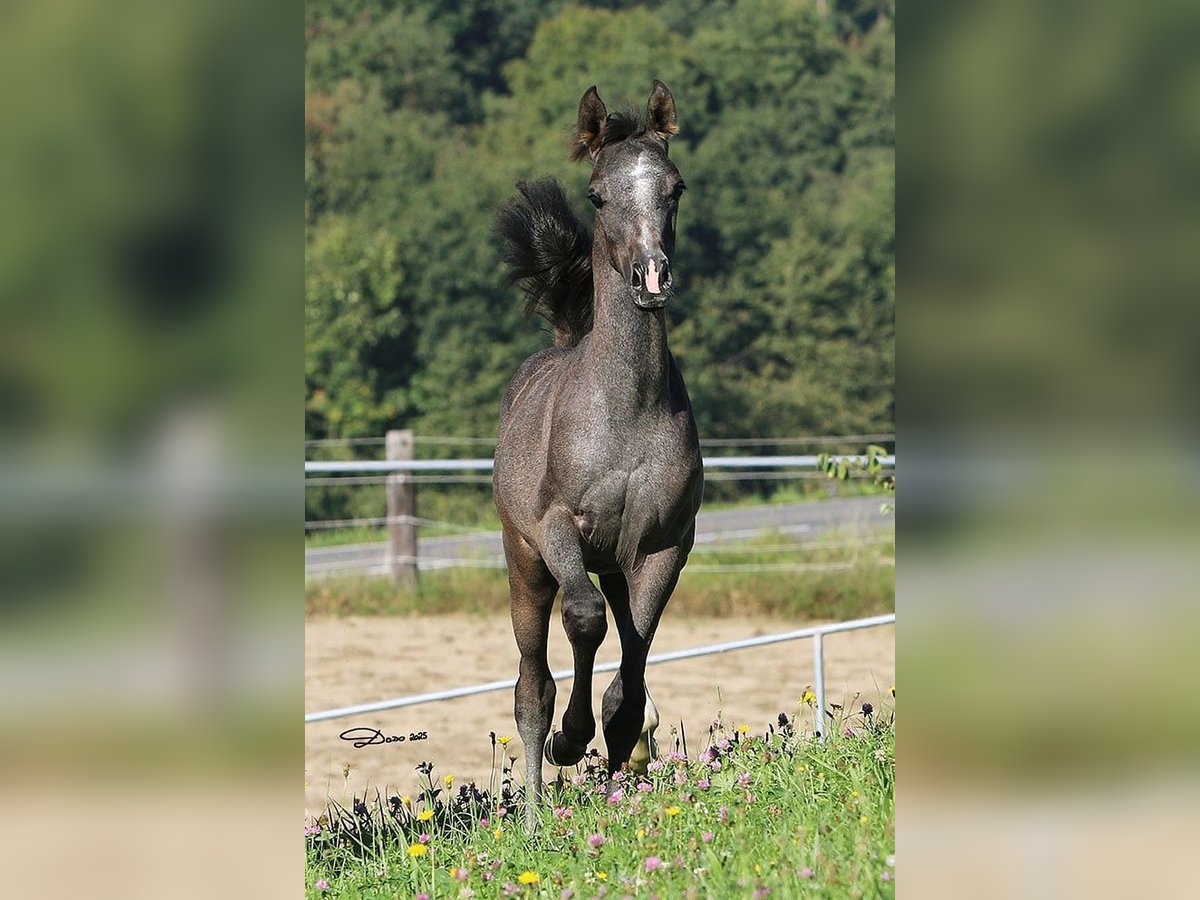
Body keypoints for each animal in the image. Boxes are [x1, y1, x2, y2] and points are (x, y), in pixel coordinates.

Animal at [493, 80, 703, 831]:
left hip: (614, 561)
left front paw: (615, 752)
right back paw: (533, 806)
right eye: (596, 195)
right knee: (533, 680)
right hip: (525, 563)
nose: (651, 277)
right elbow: (583, 622)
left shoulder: (665, 544)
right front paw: (570, 738)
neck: (625, 413)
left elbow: (634, 660)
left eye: (674, 186)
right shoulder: (560, 530)